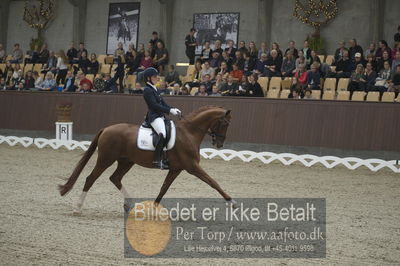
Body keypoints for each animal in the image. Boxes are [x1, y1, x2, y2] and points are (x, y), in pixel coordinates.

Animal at [57, 105, 236, 213]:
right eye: (225, 123)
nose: (219, 144)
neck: (189, 132)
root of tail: (106, 129)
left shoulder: (176, 169)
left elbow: (164, 188)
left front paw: (153, 208)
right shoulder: (192, 166)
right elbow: (213, 182)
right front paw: (232, 201)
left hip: (126, 161)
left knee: (115, 178)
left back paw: (130, 205)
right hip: (106, 159)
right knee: (91, 178)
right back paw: (78, 208)